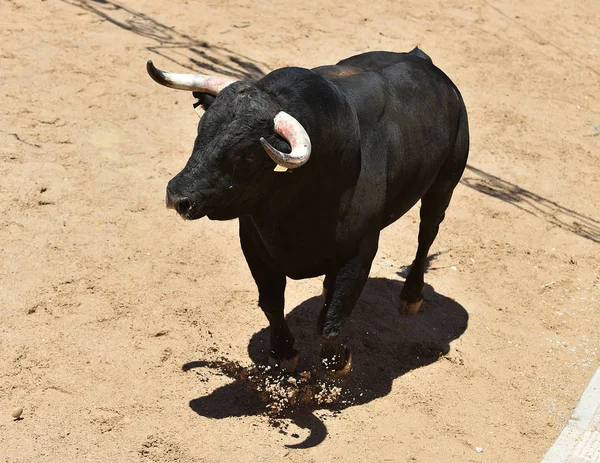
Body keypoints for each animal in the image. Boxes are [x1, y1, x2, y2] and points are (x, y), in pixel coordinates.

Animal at [145, 47, 468, 376]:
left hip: (445, 182)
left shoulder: (360, 252)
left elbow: (332, 319)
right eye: (201, 130)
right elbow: (272, 302)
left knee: (427, 232)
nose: (178, 196)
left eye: (247, 156)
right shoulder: (254, 244)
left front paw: (337, 361)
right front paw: (283, 352)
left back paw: (411, 296)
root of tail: (422, 59)